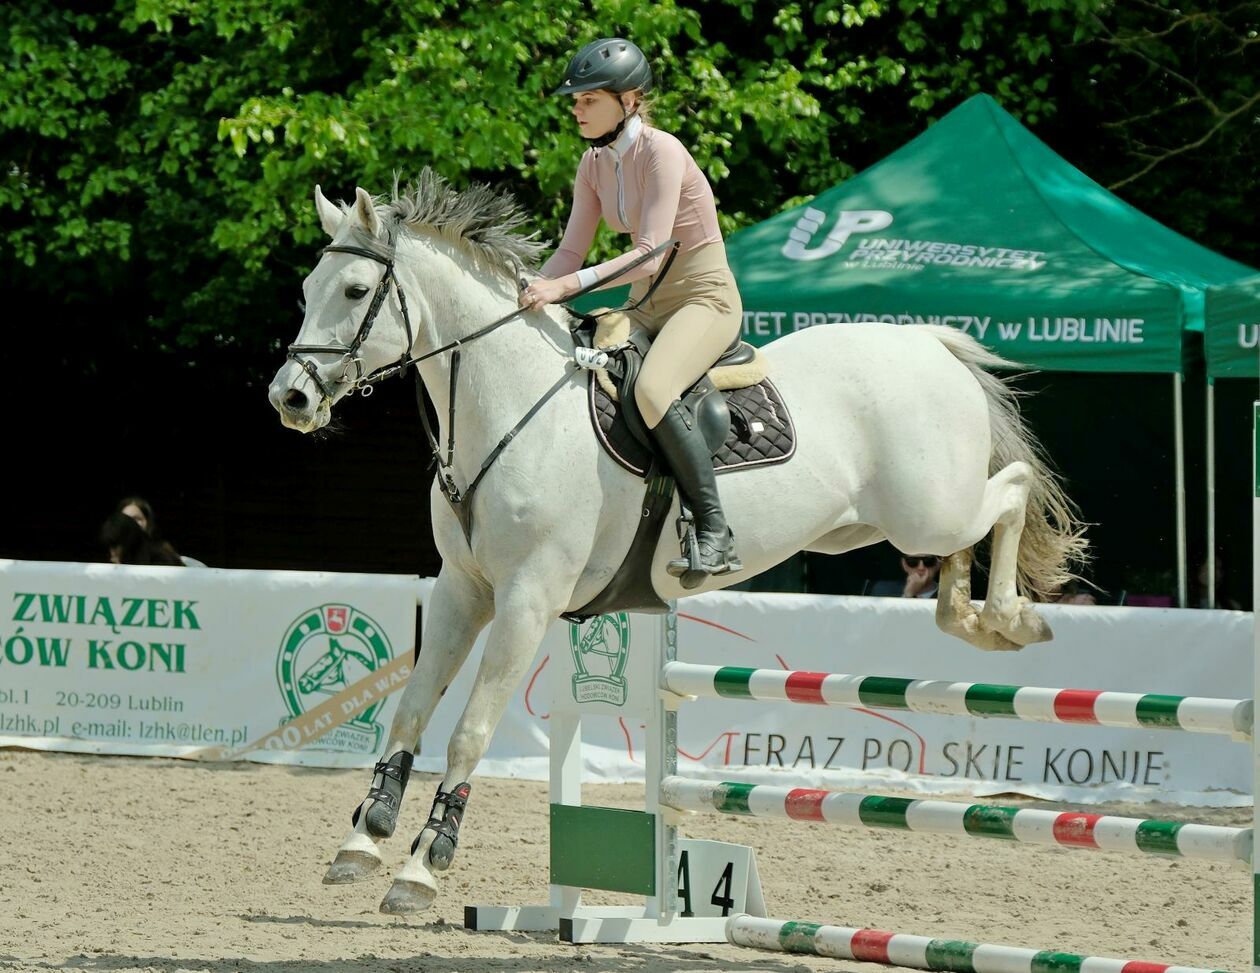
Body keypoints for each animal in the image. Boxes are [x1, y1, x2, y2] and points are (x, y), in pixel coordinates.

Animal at [263, 172, 1083, 912]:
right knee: (968, 533)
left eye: (356, 290)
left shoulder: (528, 598)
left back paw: (1008, 617)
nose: (290, 398)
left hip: (927, 508)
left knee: (1009, 489)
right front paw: (363, 838)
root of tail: (927, 343)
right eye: (307, 287)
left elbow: (469, 731)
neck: (507, 405)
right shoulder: (463, 590)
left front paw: (421, 866)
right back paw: (966, 613)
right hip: (871, 524)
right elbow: (409, 708)